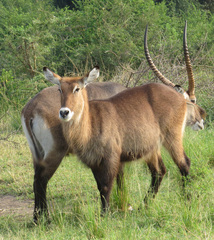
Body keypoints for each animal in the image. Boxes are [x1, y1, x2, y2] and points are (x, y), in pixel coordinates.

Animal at [21, 71, 126, 223]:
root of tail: (30, 109)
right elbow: (119, 178)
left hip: (37, 155)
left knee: (36, 180)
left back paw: (37, 219)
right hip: (55, 154)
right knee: (41, 180)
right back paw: (46, 220)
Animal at [43, 58, 206, 212]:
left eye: (77, 88)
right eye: (60, 89)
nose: (64, 112)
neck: (90, 122)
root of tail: (180, 98)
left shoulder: (111, 158)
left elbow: (106, 187)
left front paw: (105, 215)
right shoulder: (94, 162)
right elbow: (100, 188)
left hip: (172, 138)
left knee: (184, 164)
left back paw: (188, 201)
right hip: (152, 148)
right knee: (159, 171)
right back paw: (144, 206)